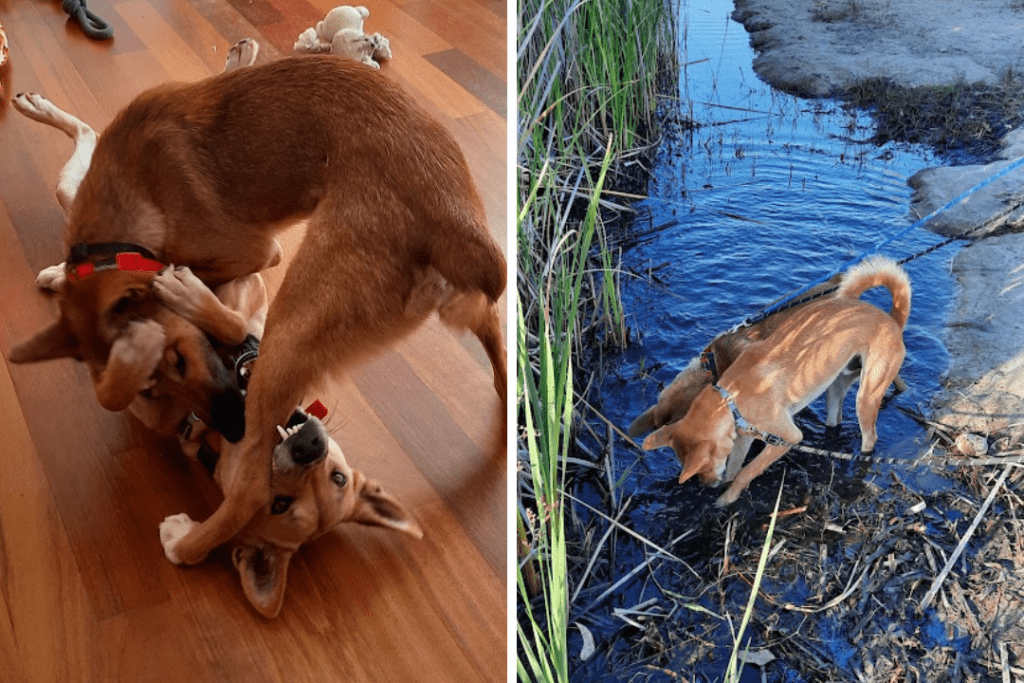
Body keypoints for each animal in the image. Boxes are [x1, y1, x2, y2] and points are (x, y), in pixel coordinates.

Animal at [8, 48, 503, 606]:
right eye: (156, 384)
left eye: (177, 359)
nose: (228, 423)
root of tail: (453, 224)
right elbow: (76, 160)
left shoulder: (258, 254)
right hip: (453, 310)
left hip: (290, 327)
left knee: (249, 490)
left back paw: (185, 544)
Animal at [638, 259, 913, 509]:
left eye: (703, 466)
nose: (706, 486)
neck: (731, 397)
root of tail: (892, 320)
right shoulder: (743, 439)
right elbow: (734, 470)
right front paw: (726, 490)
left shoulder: (788, 438)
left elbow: (747, 471)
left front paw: (726, 499)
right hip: (835, 387)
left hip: (866, 396)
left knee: (870, 436)